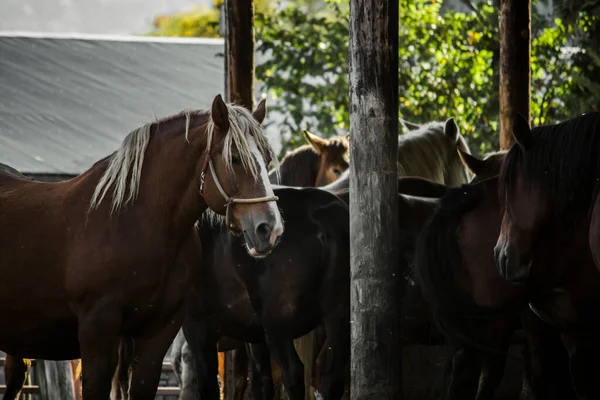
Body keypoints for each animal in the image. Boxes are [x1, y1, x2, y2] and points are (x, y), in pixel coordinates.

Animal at [0, 94, 284, 400]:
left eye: (267, 159)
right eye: (234, 158)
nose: (269, 228)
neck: (134, 223)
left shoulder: (157, 334)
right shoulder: (97, 332)